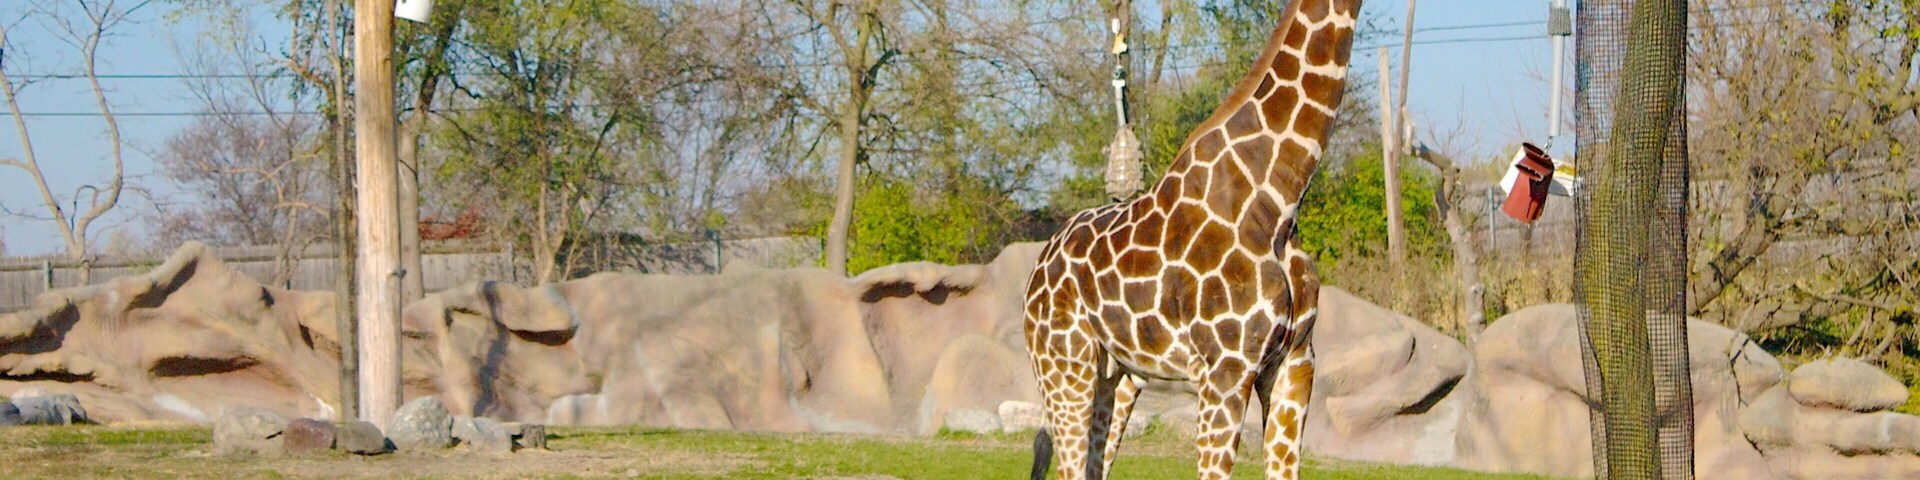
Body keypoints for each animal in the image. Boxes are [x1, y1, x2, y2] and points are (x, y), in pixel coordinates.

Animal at [1023, 0, 1359, 479]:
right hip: (1064, 367)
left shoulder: (1295, 363)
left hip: (1118, 377)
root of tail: (1037, 268)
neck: (1278, 196)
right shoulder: (1225, 371)